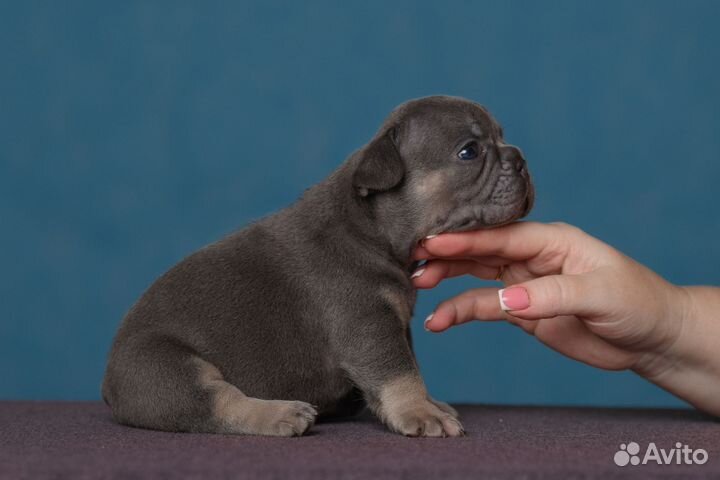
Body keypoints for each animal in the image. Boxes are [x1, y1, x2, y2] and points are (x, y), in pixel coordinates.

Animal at [105, 95, 536, 436]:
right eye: (469, 151)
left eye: (501, 136)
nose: (521, 159)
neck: (370, 227)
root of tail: (109, 388)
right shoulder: (368, 323)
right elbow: (400, 371)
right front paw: (419, 410)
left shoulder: (394, 322)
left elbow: (408, 364)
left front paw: (428, 402)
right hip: (165, 368)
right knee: (216, 403)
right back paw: (280, 414)